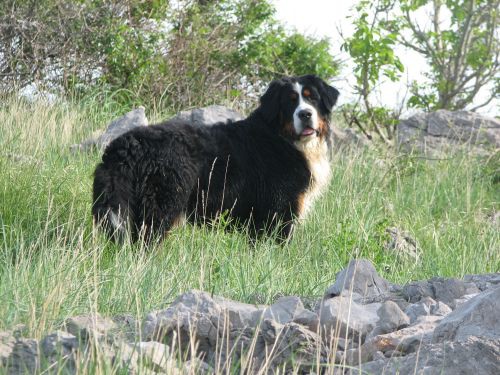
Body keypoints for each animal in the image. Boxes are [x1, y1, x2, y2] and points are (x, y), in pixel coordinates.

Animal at [93, 75, 340, 244]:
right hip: (163, 202)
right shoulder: (280, 211)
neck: (282, 138)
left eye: (312, 98)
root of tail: (126, 144)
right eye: (290, 102)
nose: (305, 114)